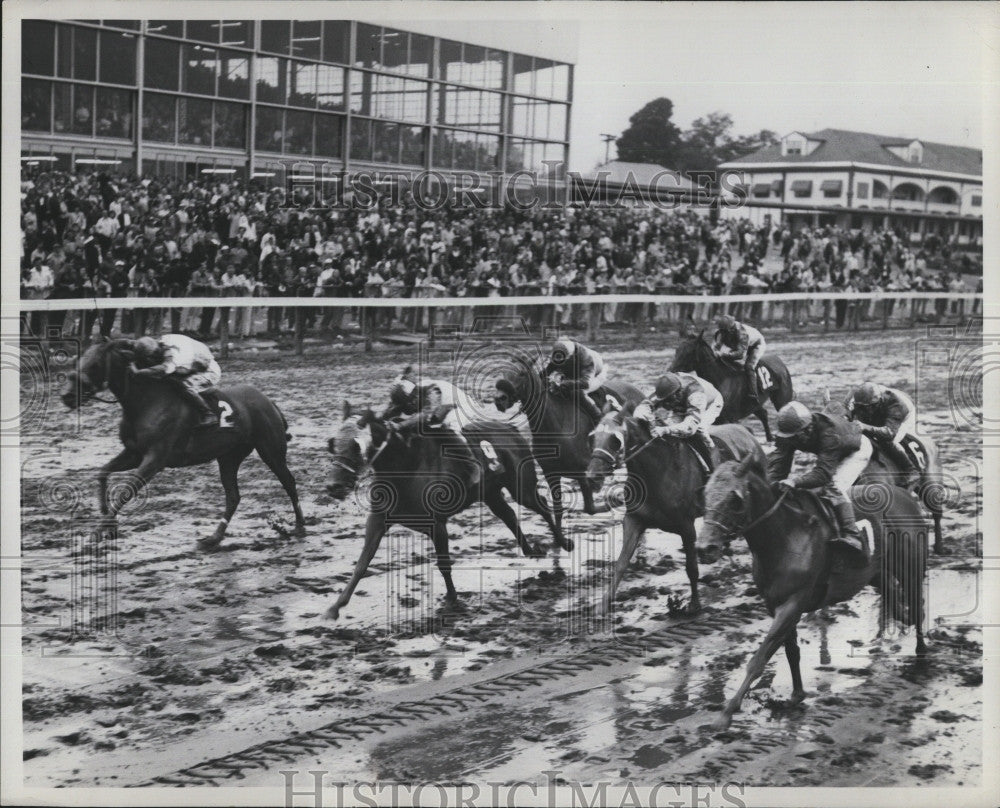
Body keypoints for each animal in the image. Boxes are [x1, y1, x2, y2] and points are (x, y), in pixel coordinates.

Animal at [61, 338, 304, 548]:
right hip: (229, 457)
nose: (67, 396)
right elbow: (102, 473)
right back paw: (214, 538)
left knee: (289, 482)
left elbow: (125, 492)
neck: (146, 401)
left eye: (95, 364)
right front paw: (108, 526)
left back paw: (300, 527)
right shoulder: (134, 453)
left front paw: (96, 533)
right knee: (233, 496)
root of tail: (268, 400)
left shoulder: (154, 460)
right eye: (79, 360)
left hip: (271, 450)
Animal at [326, 402, 572, 620]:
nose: (333, 486)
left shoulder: (437, 524)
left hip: (521, 486)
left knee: (542, 506)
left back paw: (563, 542)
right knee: (510, 516)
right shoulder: (377, 519)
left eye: (357, 446)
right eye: (333, 443)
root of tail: (509, 428)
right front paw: (336, 607)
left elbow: (444, 564)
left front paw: (453, 599)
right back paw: (531, 550)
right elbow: (362, 563)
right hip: (490, 493)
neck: (405, 466)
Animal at [492, 360, 640, 532]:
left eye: (522, 373)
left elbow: (590, 508)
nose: (499, 399)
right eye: (503, 372)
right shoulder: (551, 473)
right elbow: (559, 510)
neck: (555, 426)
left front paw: (617, 500)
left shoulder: (583, 472)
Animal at [584, 410, 760, 612]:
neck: (657, 472)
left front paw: (694, 604)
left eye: (615, 440)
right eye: (592, 437)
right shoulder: (634, 519)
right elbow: (621, 563)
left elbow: (691, 568)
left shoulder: (686, 526)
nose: (592, 476)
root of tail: (745, 430)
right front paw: (602, 605)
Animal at [700, 458, 924, 728]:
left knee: (918, 605)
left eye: (736, 499)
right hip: (875, 572)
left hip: (910, 567)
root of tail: (906, 494)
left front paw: (727, 712)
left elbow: (759, 659)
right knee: (898, 598)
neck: (785, 536)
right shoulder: (776, 604)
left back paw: (921, 652)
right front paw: (797, 695)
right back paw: (900, 618)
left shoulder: (793, 604)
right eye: (704, 495)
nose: (705, 548)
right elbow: (791, 652)